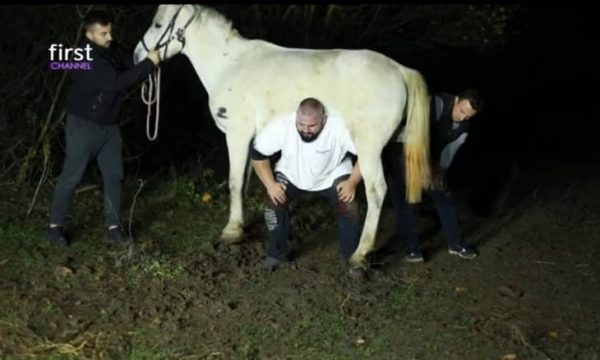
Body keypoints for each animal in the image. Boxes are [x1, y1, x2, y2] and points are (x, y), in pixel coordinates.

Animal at [134, 4, 428, 264]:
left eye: (158, 25)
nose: (138, 56)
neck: (230, 64)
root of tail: (399, 70)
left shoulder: (237, 134)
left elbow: (234, 182)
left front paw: (231, 231)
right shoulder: (252, 140)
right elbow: (245, 180)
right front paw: (242, 225)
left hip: (369, 148)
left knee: (377, 190)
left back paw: (360, 253)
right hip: (391, 147)